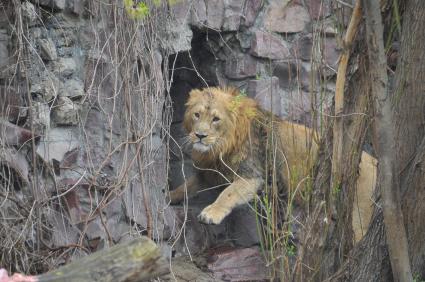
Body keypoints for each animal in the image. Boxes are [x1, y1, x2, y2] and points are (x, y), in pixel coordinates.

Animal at [169, 87, 374, 241]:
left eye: (216, 119)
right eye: (197, 115)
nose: (200, 135)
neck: (221, 147)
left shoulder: (252, 175)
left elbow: (228, 194)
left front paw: (211, 213)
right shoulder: (211, 172)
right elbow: (187, 185)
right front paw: (170, 195)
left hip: (358, 218)